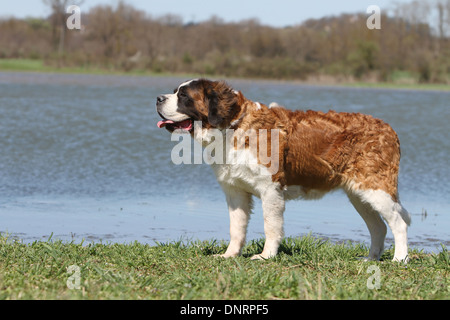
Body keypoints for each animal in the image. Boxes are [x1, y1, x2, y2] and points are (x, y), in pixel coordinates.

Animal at [157, 78, 412, 262]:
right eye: (175, 92)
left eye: (183, 96)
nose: (158, 98)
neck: (232, 127)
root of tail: (388, 129)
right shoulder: (235, 192)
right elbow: (236, 227)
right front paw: (229, 255)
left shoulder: (271, 190)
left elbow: (270, 226)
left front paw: (265, 256)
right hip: (359, 195)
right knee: (378, 227)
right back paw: (370, 259)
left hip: (376, 189)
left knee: (398, 222)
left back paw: (399, 259)